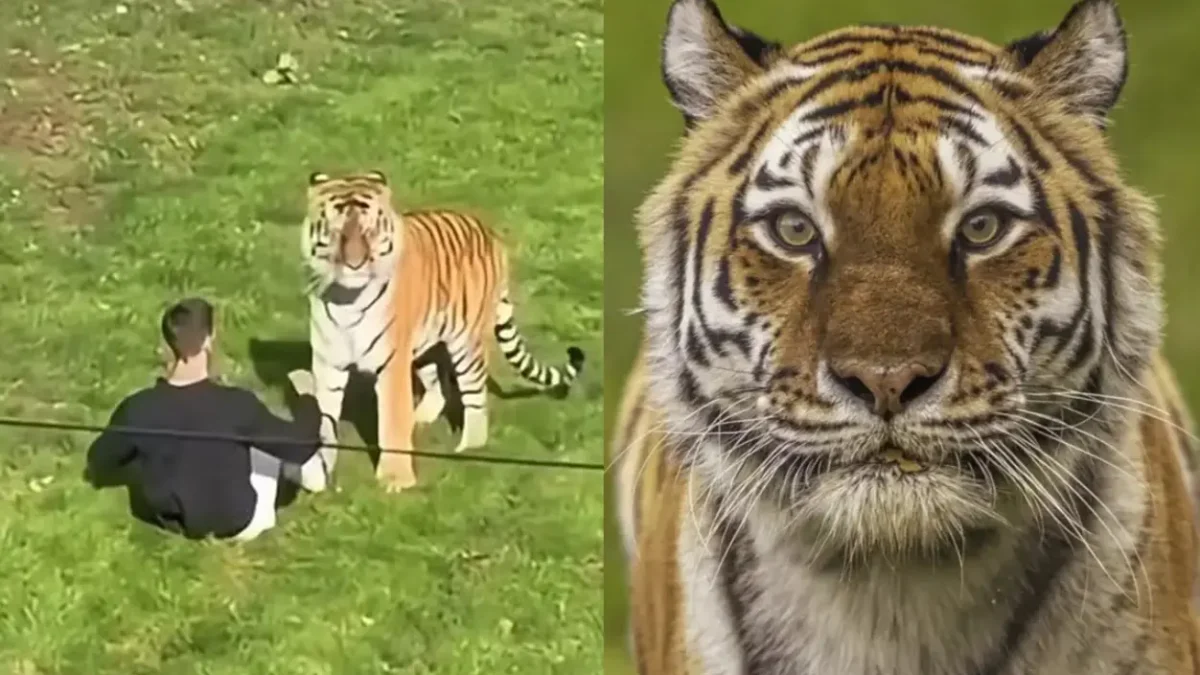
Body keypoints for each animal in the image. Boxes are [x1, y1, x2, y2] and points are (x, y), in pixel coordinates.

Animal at [297, 170, 585, 493]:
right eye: (337, 232)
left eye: (370, 231)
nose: (355, 264)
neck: (346, 299)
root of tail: (490, 234)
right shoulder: (328, 364)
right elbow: (323, 419)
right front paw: (319, 470)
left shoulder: (391, 363)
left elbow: (392, 421)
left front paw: (396, 479)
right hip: (426, 343)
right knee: (437, 385)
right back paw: (420, 418)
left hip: (466, 345)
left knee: (474, 397)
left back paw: (468, 448)